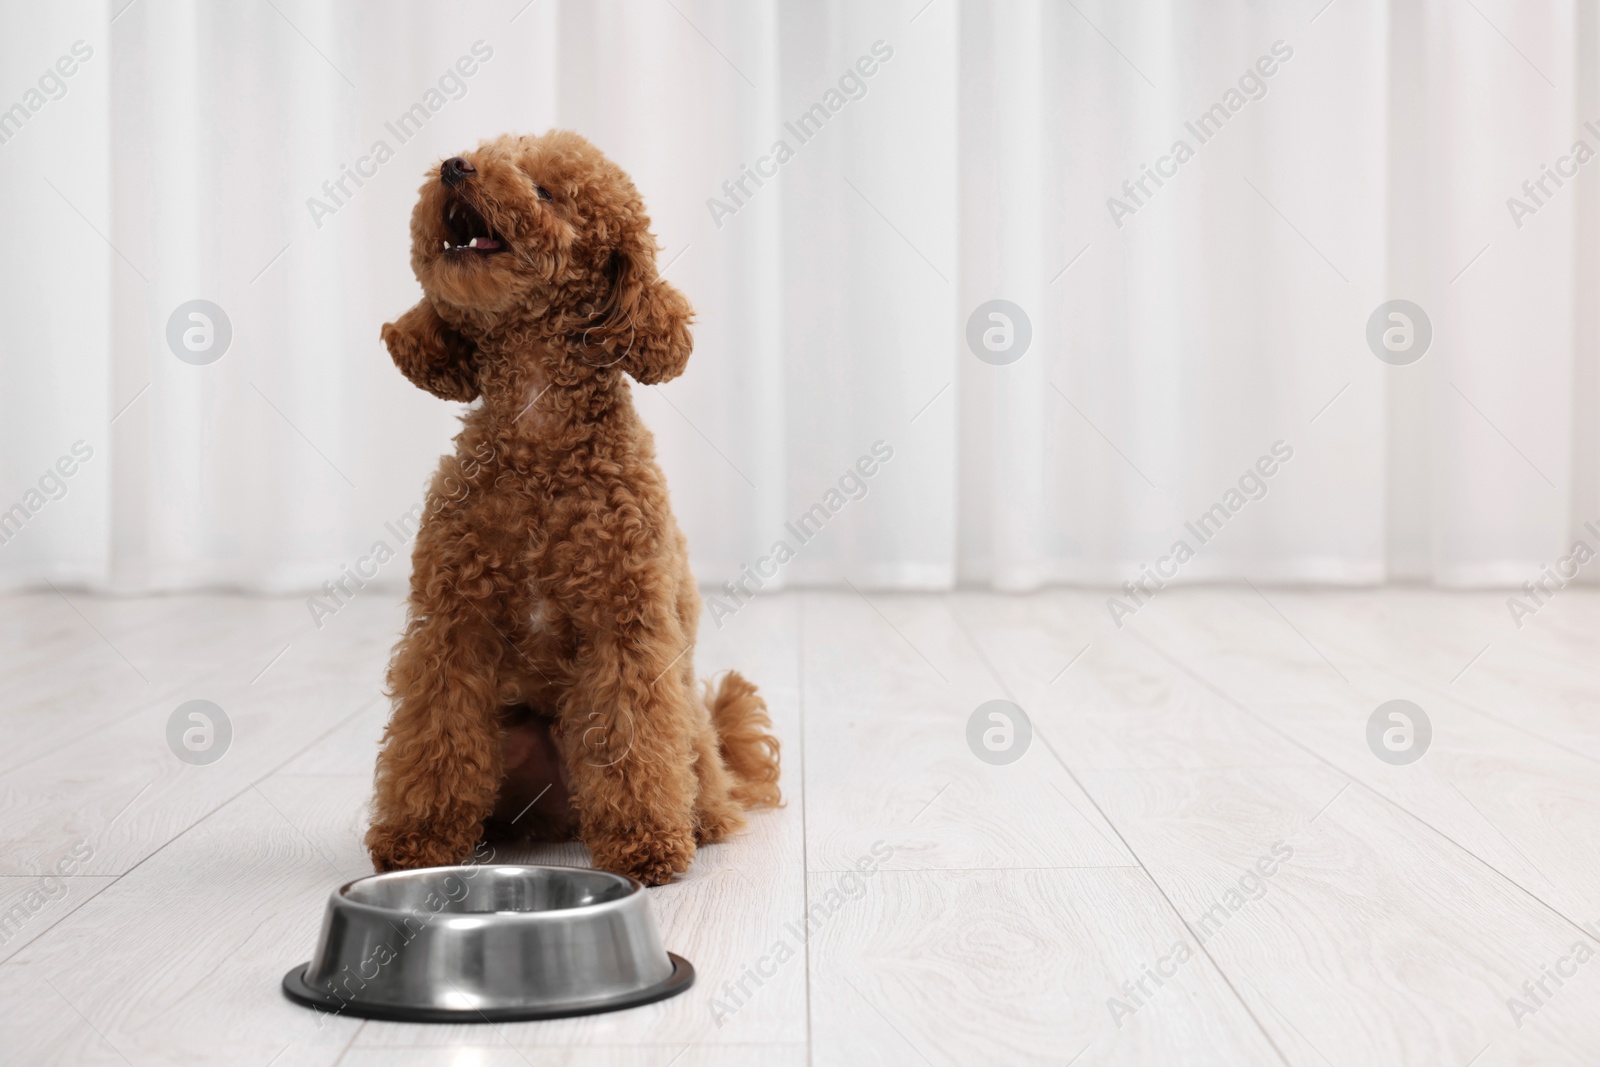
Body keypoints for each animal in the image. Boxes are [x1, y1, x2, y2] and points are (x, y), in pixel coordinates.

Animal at [369, 129, 780, 889]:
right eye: (488, 156)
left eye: (547, 192)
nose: (455, 167)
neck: (540, 440)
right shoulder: (451, 624)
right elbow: (434, 733)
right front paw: (418, 840)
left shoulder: (626, 626)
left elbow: (633, 738)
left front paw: (646, 845)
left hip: (689, 731)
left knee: (696, 775)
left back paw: (699, 819)